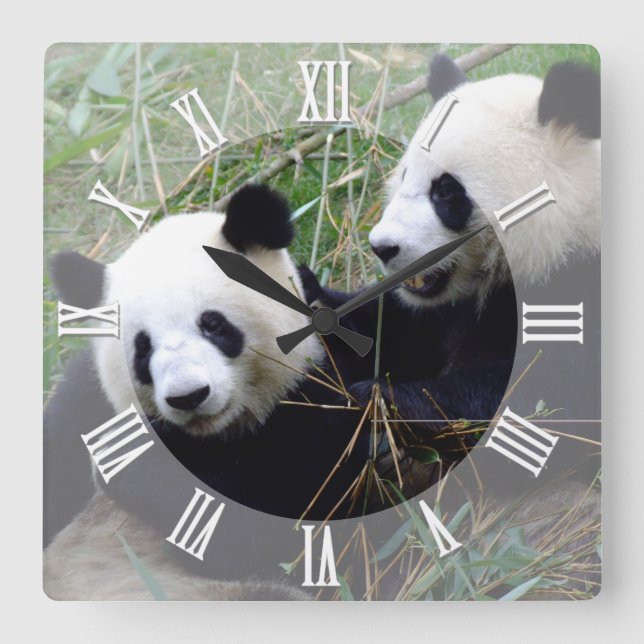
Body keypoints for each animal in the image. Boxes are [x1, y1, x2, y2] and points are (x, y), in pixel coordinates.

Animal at [44, 185, 371, 598]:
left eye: (213, 324)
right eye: (142, 348)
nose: (189, 396)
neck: (217, 438)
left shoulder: (318, 392)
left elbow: (290, 528)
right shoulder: (84, 405)